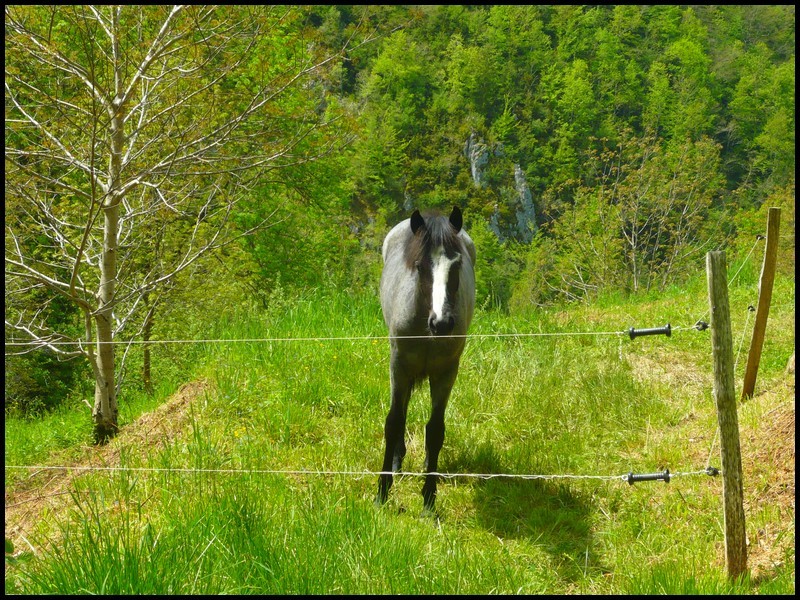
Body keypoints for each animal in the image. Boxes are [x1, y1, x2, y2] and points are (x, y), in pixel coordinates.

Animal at [376, 207, 476, 516]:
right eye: (420, 266)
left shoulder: (446, 372)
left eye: (457, 265)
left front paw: (429, 500)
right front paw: (382, 493)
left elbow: (435, 431)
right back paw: (397, 462)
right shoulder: (399, 366)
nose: (441, 323)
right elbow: (394, 421)